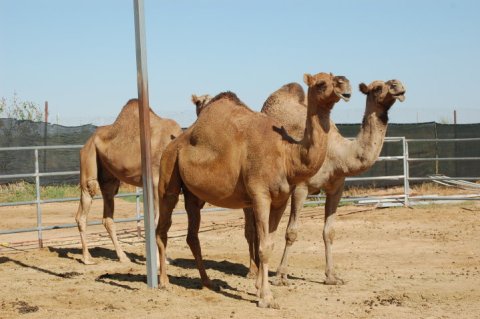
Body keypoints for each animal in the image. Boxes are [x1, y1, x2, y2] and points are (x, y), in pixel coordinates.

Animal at [76, 99, 183, 264]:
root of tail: (85, 144)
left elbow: (166, 221)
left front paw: (165, 260)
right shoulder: (156, 182)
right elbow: (157, 220)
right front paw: (158, 261)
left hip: (109, 178)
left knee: (108, 213)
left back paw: (122, 257)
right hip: (89, 157)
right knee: (86, 199)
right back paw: (87, 258)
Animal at [158, 73, 352, 310]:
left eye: (335, 77)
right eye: (321, 83)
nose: (344, 84)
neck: (287, 155)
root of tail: (174, 143)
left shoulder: (280, 200)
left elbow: (269, 243)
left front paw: (260, 289)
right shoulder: (260, 196)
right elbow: (263, 247)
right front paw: (266, 298)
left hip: (194, 195)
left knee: (192, 235)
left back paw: (208, 282)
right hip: (168, 176)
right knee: (162, 226)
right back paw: (164, 282)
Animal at [244, 79, 404, 286]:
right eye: (377, 88)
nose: (398, 86)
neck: (337, 154)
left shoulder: (336, 188)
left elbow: (329, 232)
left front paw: (332, 277)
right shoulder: (301, 188)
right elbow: (291, 232)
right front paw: (280, 276)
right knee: (251, 228)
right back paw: (252, 271)